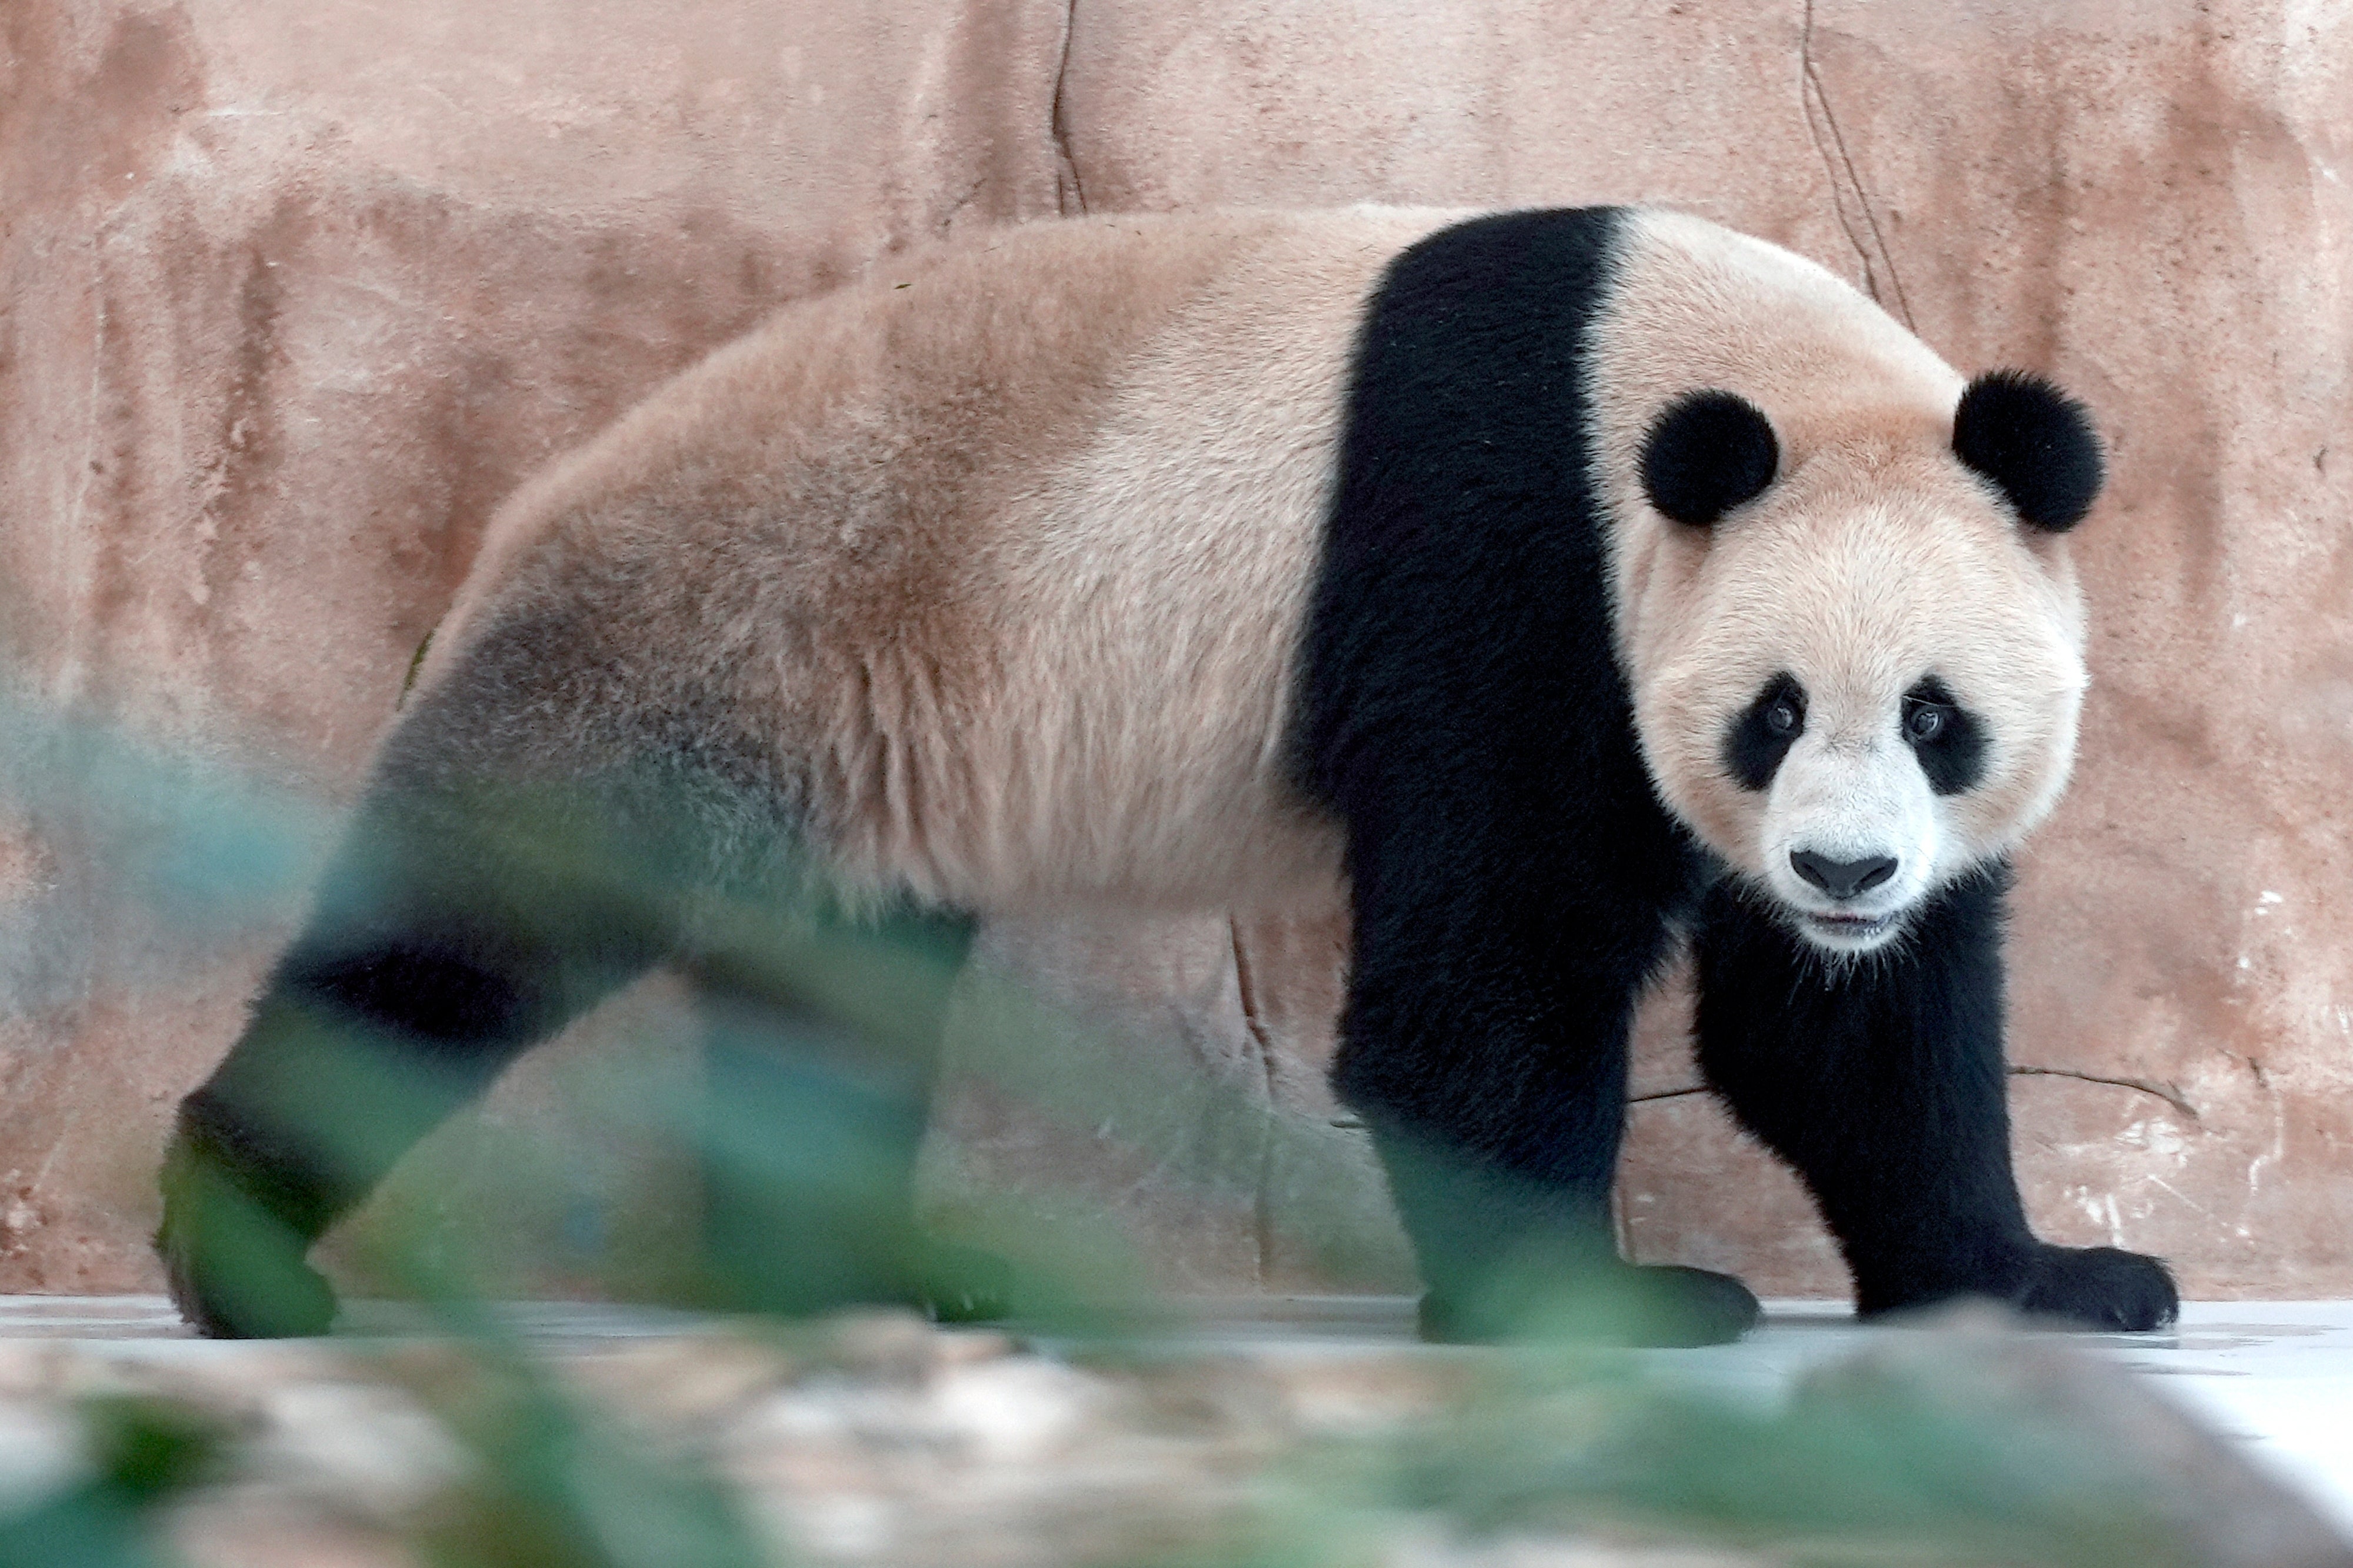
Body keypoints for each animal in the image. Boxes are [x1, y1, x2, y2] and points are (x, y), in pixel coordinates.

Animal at [157, 204, 2180, 1345]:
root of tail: (519, 521)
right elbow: (1481, 991)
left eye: (1936, 720)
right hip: (701, 643)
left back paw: (863, 1281)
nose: (1842, 875)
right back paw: (238, 1264)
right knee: (465, 935)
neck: (1670, 370)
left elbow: (1842, 1038)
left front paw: (2042, 1273)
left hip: (833, 755)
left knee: (834, 1015)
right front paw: (1608, 1303)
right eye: (1771, 711)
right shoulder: (1505, 572)